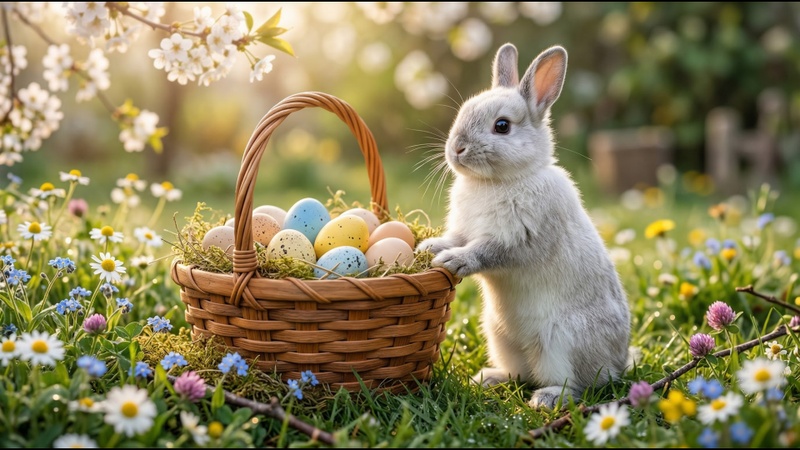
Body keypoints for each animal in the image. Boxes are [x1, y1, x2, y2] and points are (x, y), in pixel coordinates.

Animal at [417, 43, 631, 409]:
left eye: (502, 126)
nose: (456, 149)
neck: (499, 181)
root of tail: (620, 360)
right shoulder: (463, 231)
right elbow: (453, 238)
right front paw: (428, 248)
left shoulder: (518, 239)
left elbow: (485, 251)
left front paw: (454, 262)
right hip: (499, 336)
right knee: (521, 373)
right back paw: (488, 378)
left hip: (561, 342)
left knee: (579, 385)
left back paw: (546, 398)